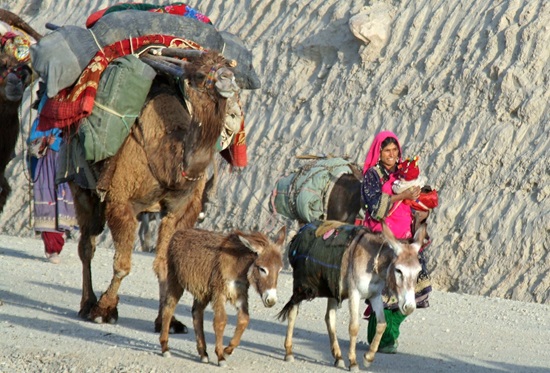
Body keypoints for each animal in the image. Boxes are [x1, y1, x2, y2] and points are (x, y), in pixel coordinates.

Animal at [70, 50, 239, 332]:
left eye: (229, 67)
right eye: (200, 75)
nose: (228, 79)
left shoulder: (178, 212)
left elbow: (164, 265)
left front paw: (167, 321)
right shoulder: (120, 201)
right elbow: (122, 264)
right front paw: (104, 310)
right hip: (81, 187)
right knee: (87, 245)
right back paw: (87, 304)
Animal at [160, 225, 286, 364]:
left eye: (280, 270)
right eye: (262, 269)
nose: (271, 300)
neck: (237, 265)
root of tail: (180, 232)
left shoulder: (240, 293)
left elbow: (244, 319)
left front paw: (227, 351)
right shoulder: (219, 293)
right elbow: (220, 321)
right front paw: (220, 356)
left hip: (202, 291)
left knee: (196, 313)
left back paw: (203, 353)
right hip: (175, 280)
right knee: (168, 308)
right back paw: (165, 348)